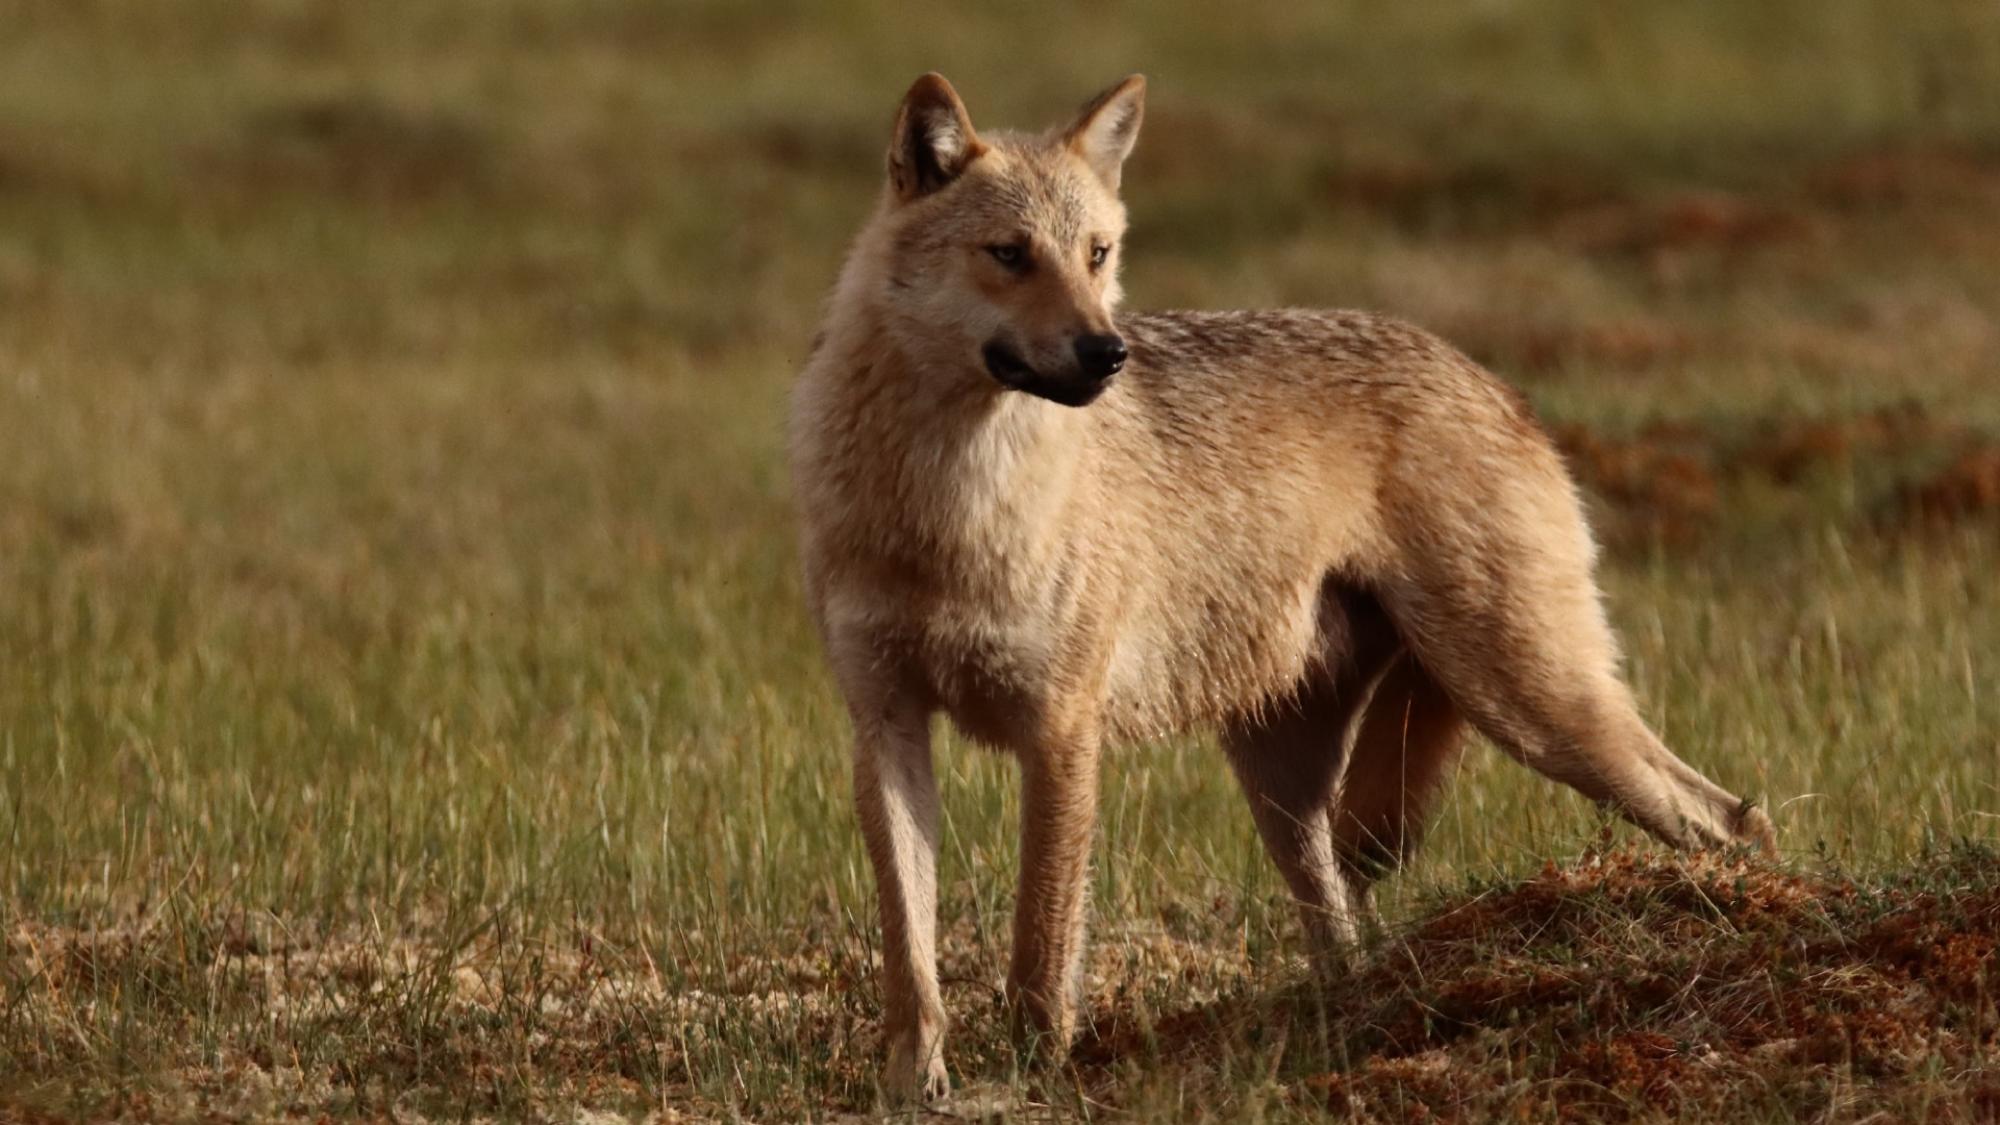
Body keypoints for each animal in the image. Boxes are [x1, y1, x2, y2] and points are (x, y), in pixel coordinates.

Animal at [789, 72, 1776, 1101]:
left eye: (1098, 253)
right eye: (1010, 255)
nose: (1107, 353)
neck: (947, 506)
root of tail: (1500, 386)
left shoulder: (1061, 732)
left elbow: (1039, 946)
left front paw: (1037, 1077)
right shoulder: (887, 726)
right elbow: (912, 955)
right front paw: (914, 1085)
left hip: (1538, 713)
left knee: (1735, 820)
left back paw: (1752, 918)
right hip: (1293, 787)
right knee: (1345, 926)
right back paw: (1350, 1021)